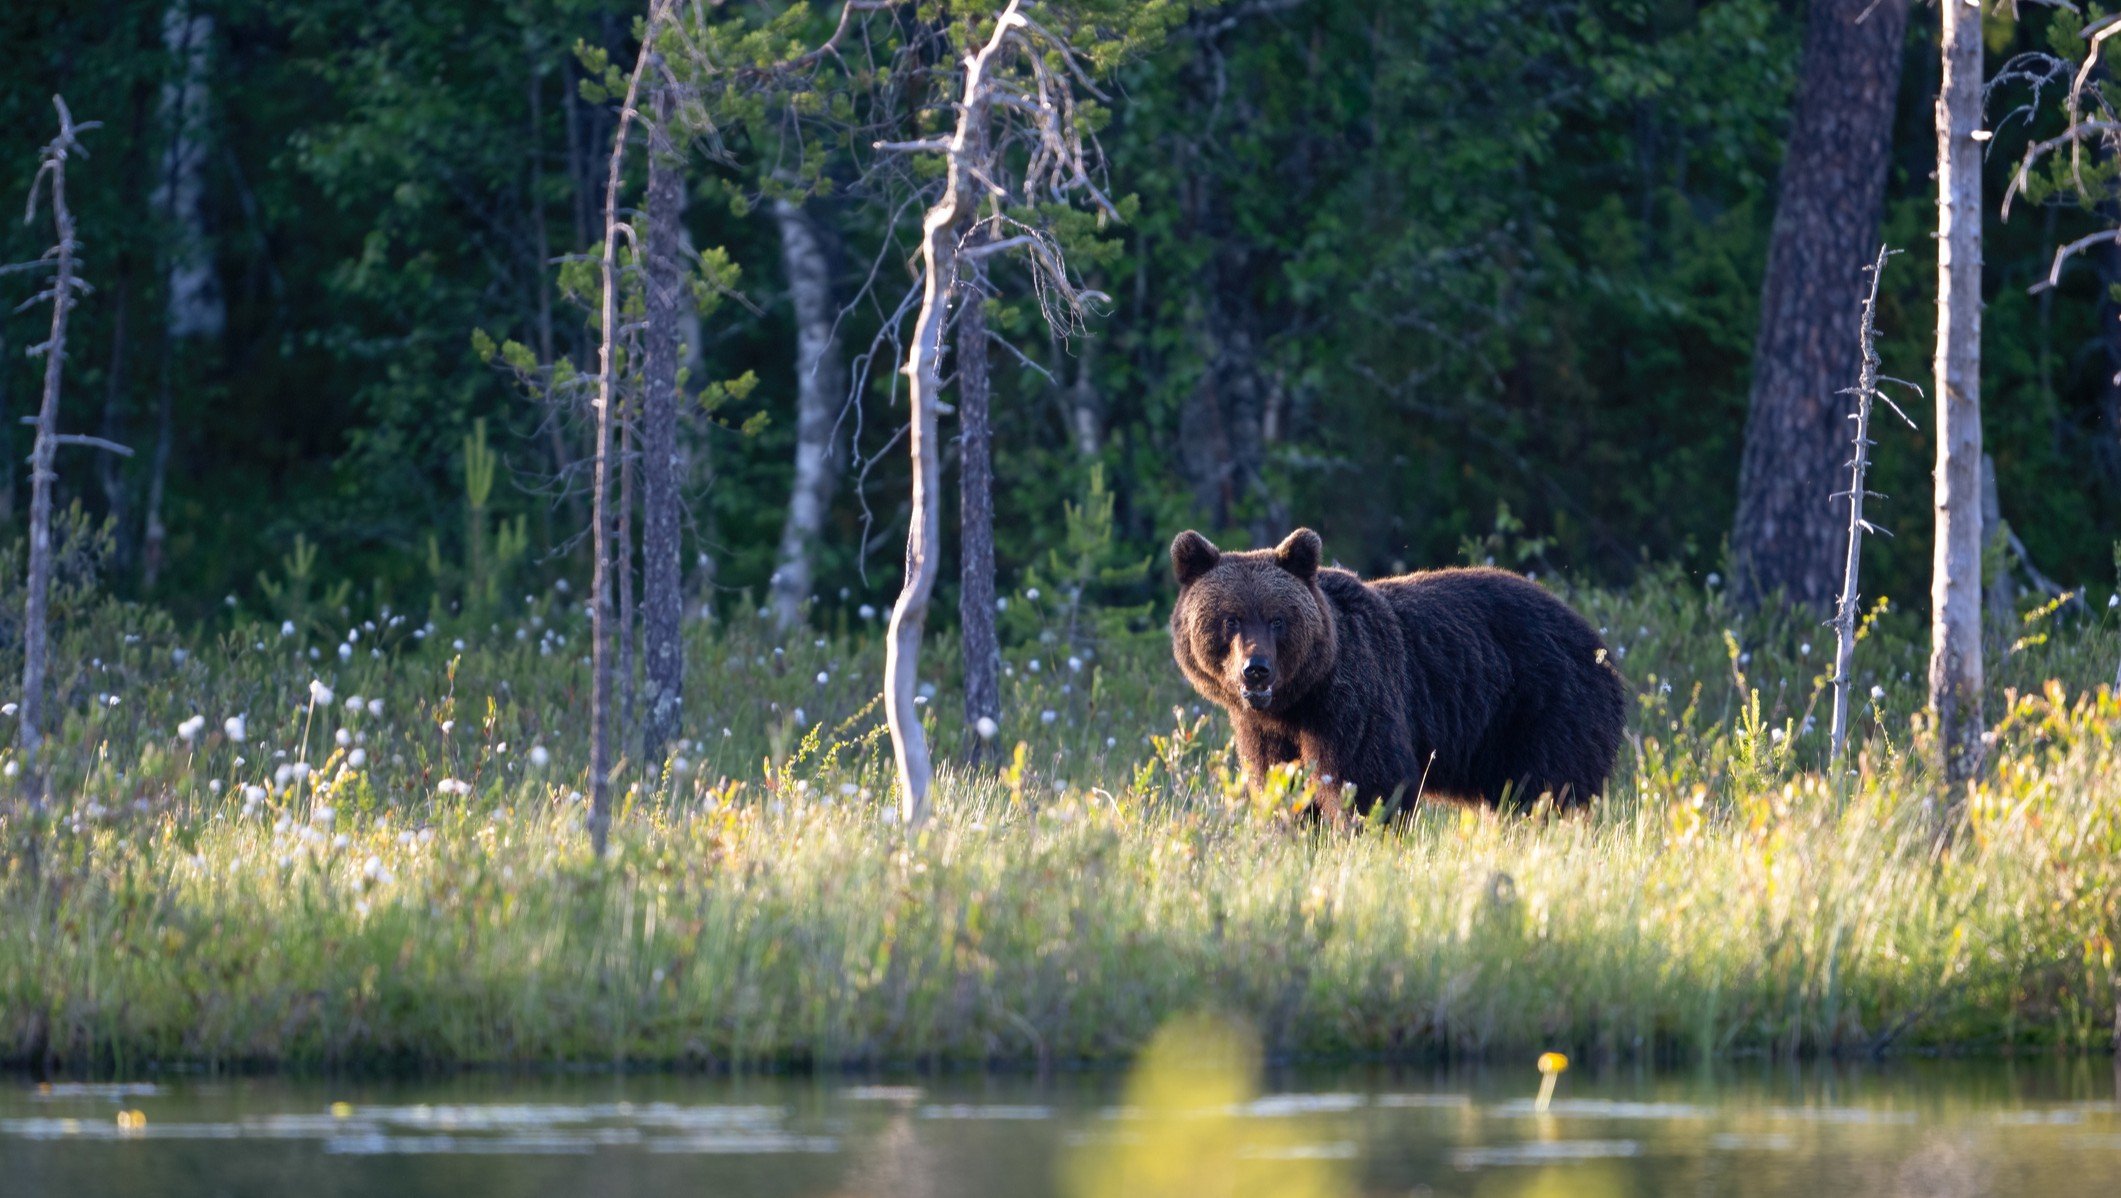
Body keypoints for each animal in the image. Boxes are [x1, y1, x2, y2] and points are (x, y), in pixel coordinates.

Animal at [1168, 527, 1627, 813]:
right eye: (1230, 619)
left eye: (1277, 619)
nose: (1256, 669)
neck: (1297, 702)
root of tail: (1597, 642)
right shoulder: (1264, 730)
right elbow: (1281, 784)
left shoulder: (1353, 699)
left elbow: (1369, 779)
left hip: (1546, 706)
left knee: (1548, 787)